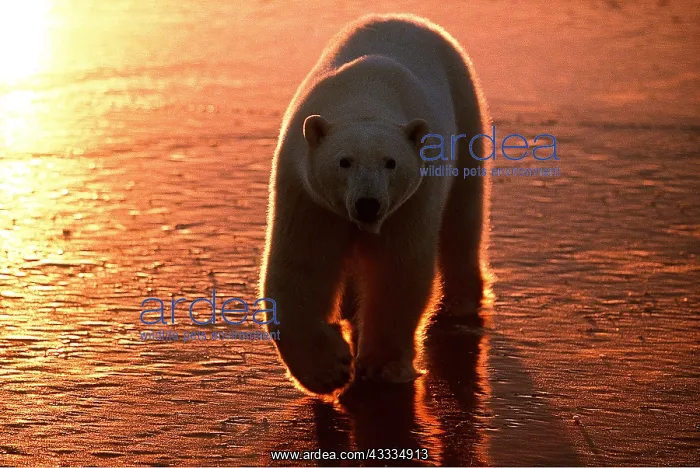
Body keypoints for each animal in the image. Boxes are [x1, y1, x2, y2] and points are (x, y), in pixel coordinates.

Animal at [259, 13, 489, 395]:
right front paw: (328, 369)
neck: (365, 98)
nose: (368, 204)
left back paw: (461, 303)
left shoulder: (410, 200)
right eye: (344, 162)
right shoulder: (308, 194)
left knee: (462, 216)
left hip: (466, 110)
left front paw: (380, 367)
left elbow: (396, 269)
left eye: (390, 163)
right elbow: (302, 264)